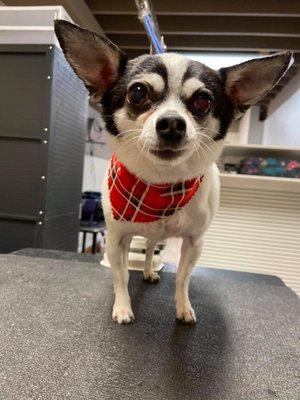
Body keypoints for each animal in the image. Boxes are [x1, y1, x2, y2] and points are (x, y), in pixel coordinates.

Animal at [54, 19, 292, 324]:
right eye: (138, 93)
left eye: (203, 101)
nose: (171, 123)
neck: (160, 184)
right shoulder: (117, 238)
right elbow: (121, 275)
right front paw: (122, 306)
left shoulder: (194, 242)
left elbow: (182, 278)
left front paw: (183, 307)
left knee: (150, 250)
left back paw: (149, 272)